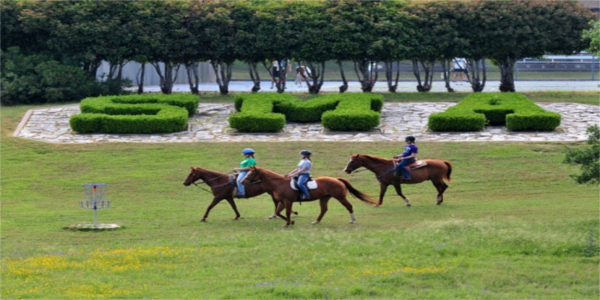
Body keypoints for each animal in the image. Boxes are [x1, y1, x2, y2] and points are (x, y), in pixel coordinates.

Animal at [240, 166, 376, 227]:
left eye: (251, 173)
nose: (242, 182)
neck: (279, 183)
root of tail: (336, 179)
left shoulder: (288, 201)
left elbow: (287, 212)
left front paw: (288, 223)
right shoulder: (282, 201)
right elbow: (278, 212)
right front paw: (291, 221)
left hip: (340, 197)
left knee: (349, 206)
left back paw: (352, 220)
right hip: (324, 198)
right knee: (323, 209)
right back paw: (316, 221)